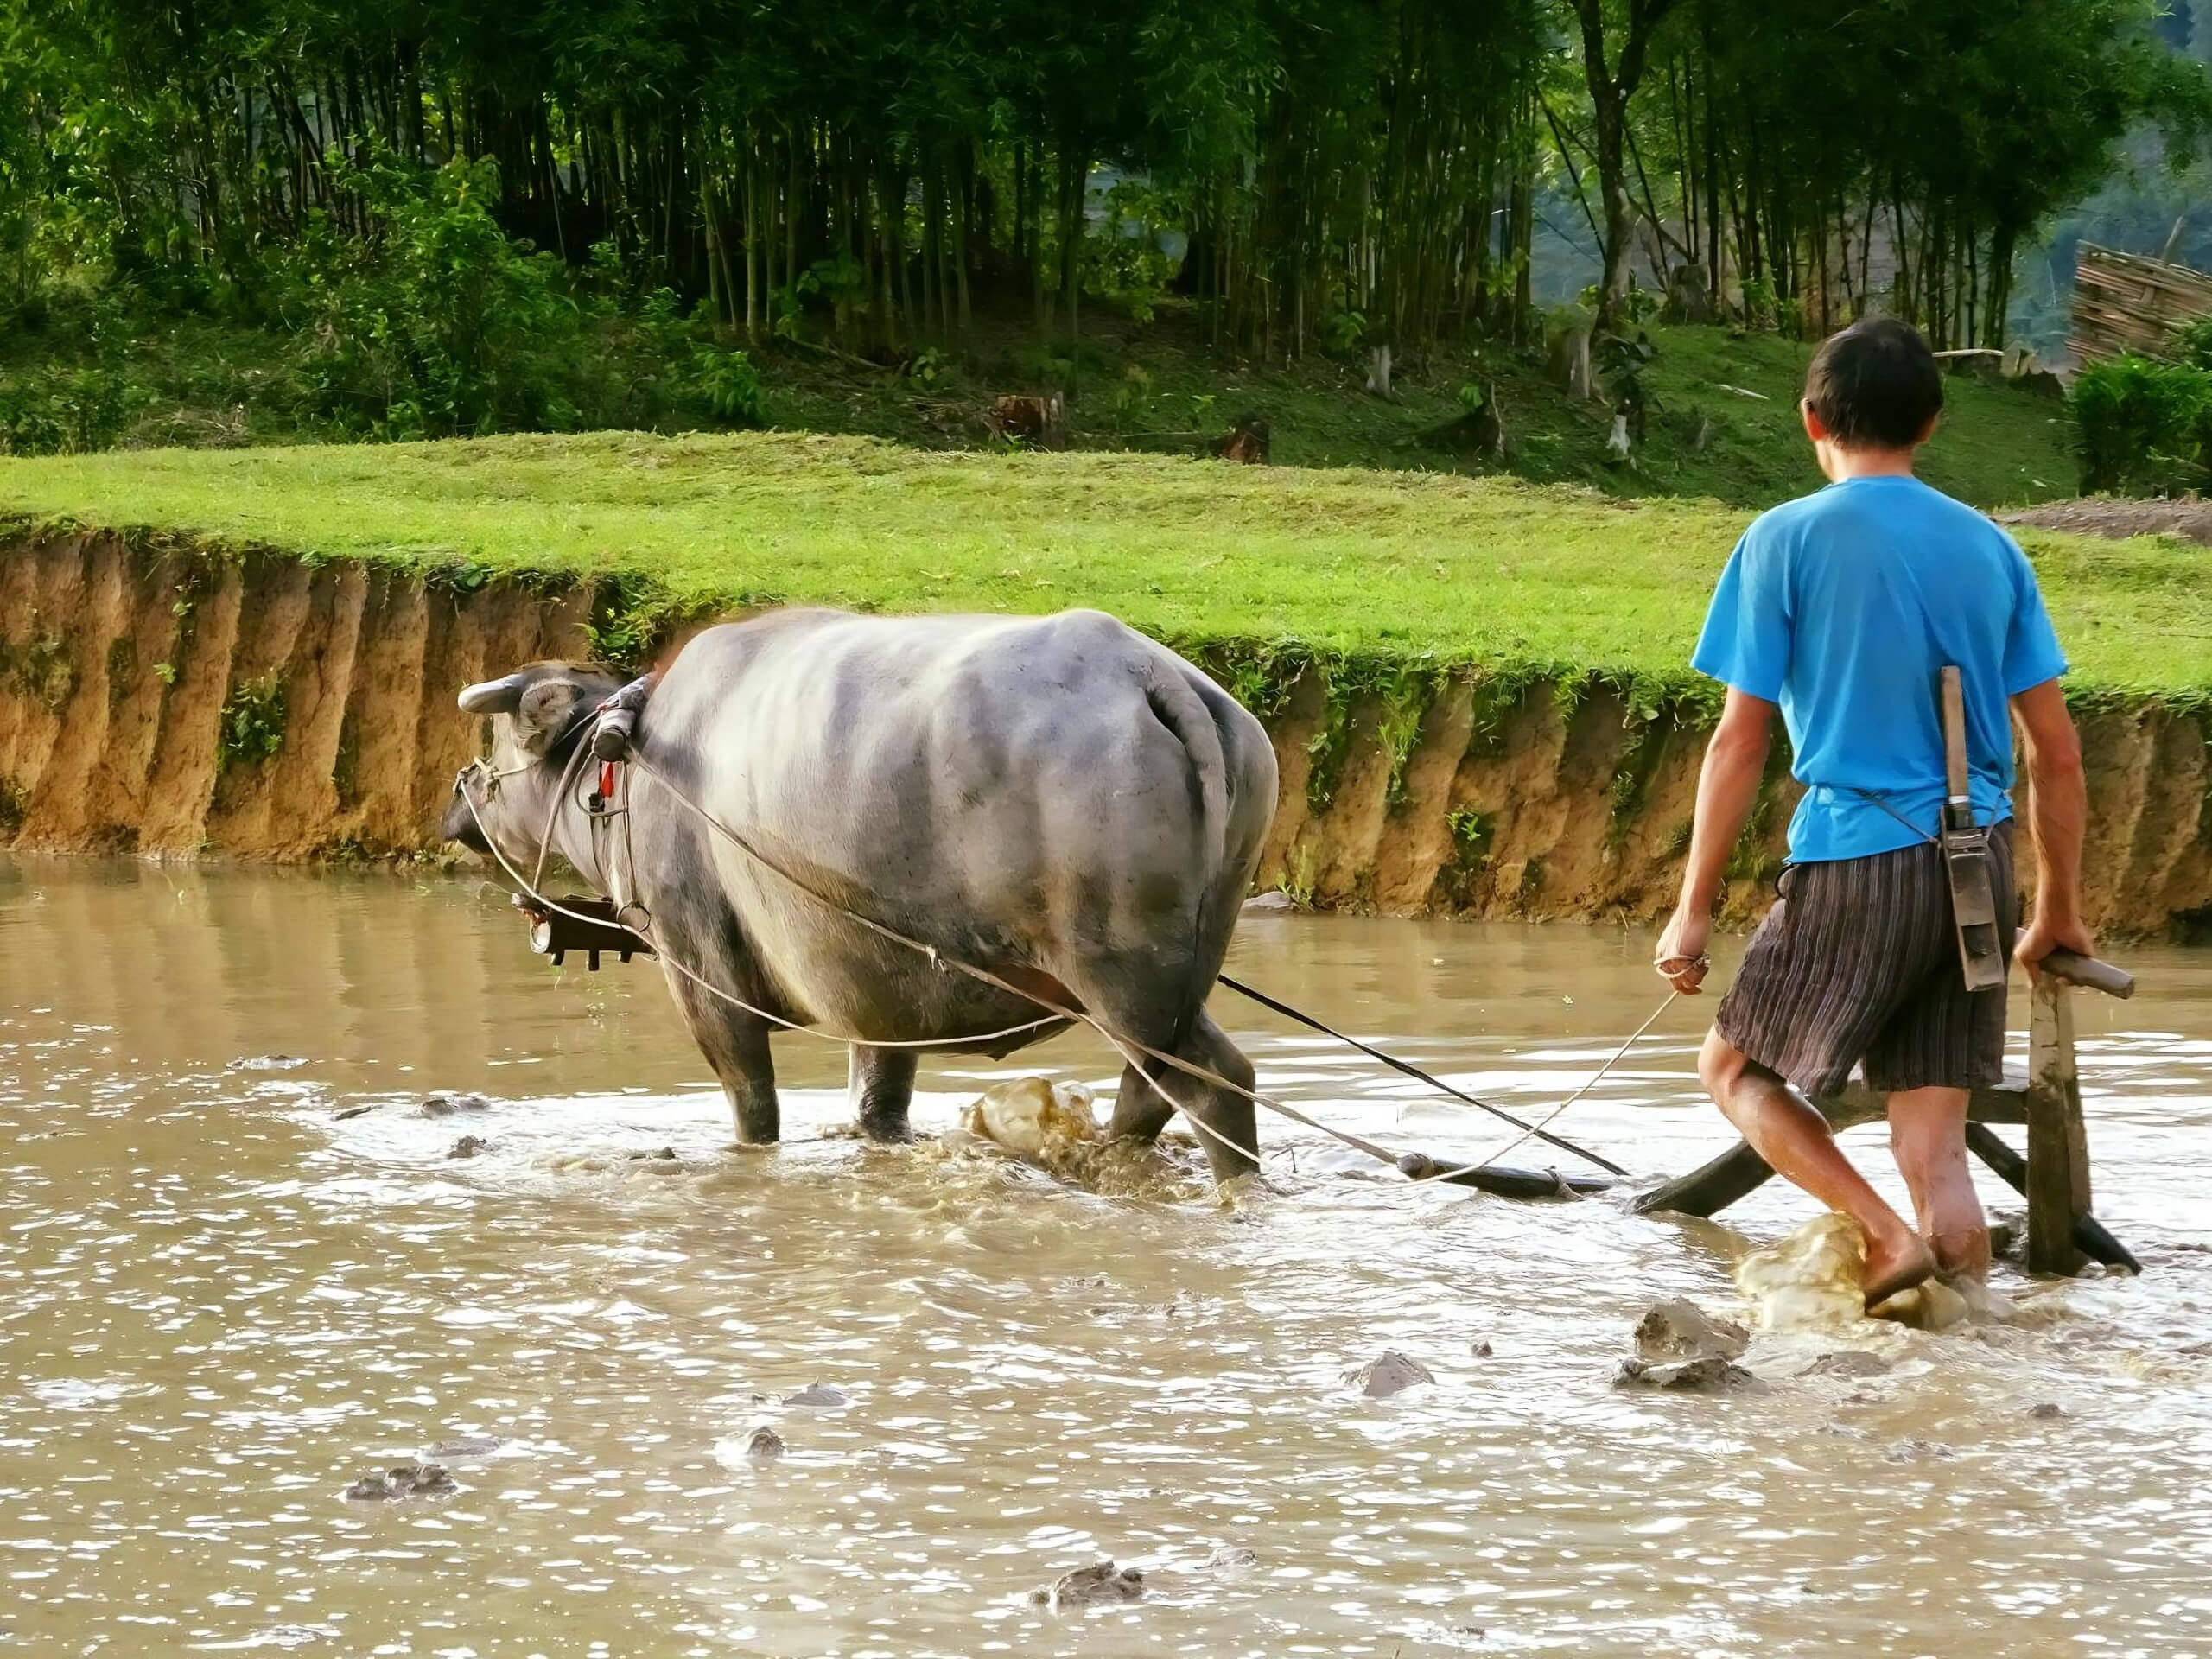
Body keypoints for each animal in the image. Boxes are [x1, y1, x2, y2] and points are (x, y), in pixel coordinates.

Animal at [444, 610, 1282, 1185]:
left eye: (495, 744)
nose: (457, 799)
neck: (625, 765)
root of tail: (1149, 673)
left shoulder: (700, 970)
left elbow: (752, 1103)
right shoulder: (879, 995)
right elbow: (877, 1106)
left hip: (1122, 978)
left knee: (1214, 1085)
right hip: (1181, 973)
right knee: (1154, 1094)